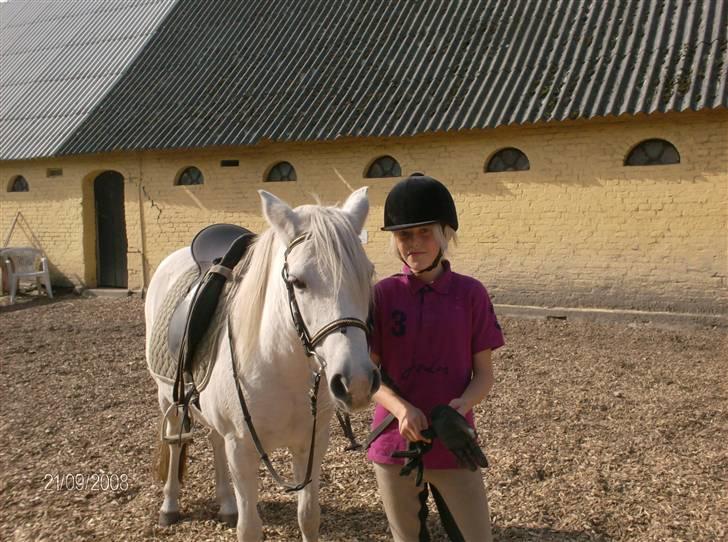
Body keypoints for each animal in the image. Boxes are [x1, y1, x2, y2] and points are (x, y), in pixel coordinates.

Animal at [145, 188, 380, 541]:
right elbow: (249, 528)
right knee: (175, 440)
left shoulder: (311, 444)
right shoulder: (242, 450)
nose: (357, 383)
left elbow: (308, 516)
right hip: (167, 396)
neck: (280, 366)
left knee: (213, 438)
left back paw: (226, 504)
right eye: (297, 281)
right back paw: (169, 506)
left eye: (367, 274)